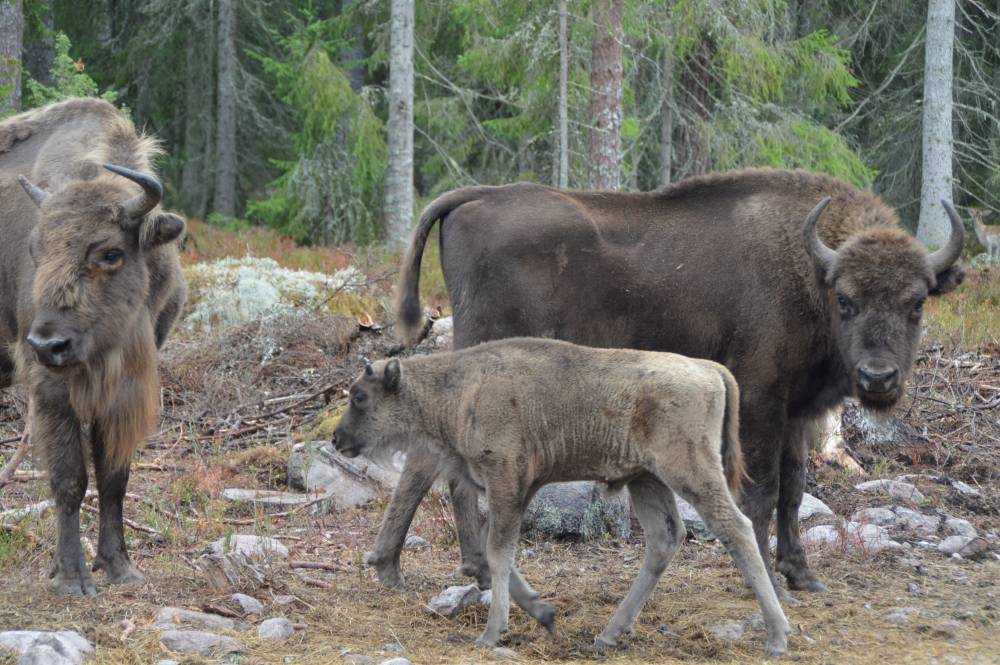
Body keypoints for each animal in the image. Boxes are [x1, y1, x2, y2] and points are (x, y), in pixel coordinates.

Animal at [0, 98, 188, 596]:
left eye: (109, 253)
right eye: (36, 250)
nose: (48, 343)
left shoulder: (120, 393)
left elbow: (113, 477)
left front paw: (120, 566)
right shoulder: (51, 389)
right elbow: (70, 478)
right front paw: (71, 577)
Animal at [334, 340, 788, 656]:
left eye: (360, 396)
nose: (337, 439)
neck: (462, 389)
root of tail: (709, 369)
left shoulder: (506, 483)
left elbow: (498, 553)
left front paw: (491, 633)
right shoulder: (513, 492)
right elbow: (497, 552)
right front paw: (543, 613)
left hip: (689, 471)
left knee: (737, 529)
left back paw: (777, 636)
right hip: (646, 480)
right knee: (665, 539)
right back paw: (608, 634)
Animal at [370, 169, 968, 592]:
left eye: (917, 302)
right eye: (845, 300)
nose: (878, 377)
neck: (808, 270)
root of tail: (476, 198)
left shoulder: (797, 411)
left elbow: (795, 490)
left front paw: (803, 576)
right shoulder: (759, 401)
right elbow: (761, 493)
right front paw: (766, 580)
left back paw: (429, 566)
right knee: (432, 459)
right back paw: (439, 567)